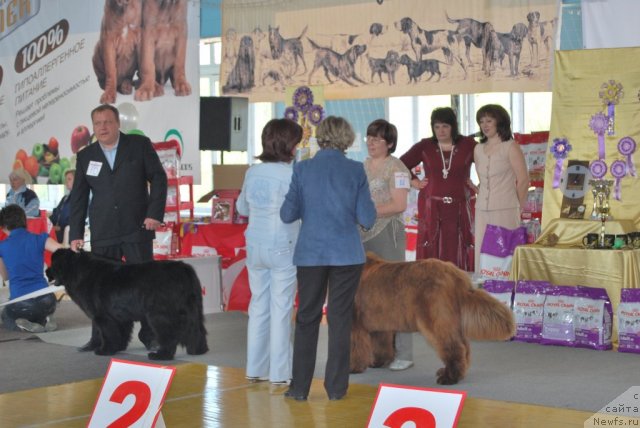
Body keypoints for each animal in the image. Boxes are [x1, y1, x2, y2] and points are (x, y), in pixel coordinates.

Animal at [50, 249, 210, 360]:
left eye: (53, 265)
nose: (46, 271)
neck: (78, 271)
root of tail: (184, 269)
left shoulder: (103, 316)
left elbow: (107, 333)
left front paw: (105, 350)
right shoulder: (120, 316)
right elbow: (121, 333)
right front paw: (118, 347)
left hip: (159, 315)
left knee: (168, 335)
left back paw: (161, 355)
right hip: (192, 310)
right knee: (196, 330)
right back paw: (198, 350)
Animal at [350, 254, 516, 384]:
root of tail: (455, 274)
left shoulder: (354, 323)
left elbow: (356, 347)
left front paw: (354, 368)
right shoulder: (379, 323)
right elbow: (380, 345)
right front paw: (378, 362)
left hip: (436, 320)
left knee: (454, 347)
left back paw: (450, 377)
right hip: (451, 321)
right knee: (464, 346)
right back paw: (455, 372)